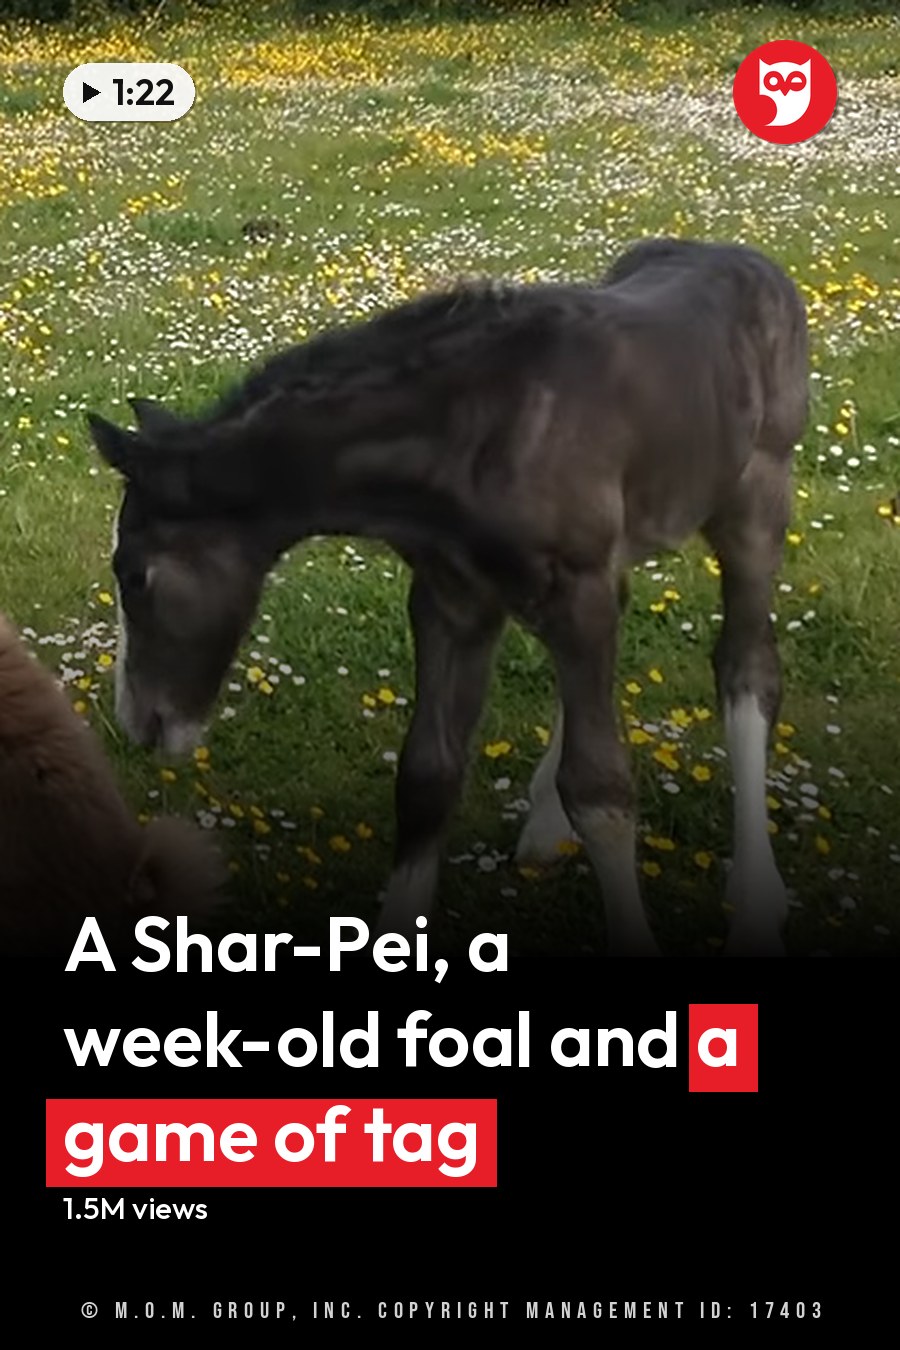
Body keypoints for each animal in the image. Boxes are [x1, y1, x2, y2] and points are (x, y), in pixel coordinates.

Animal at [86, 237, 808, 956]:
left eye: (134, 574)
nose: (139, 721)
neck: (474, 435)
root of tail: (748, 258)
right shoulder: (452, 599)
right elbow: (427, 776)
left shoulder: (575, 592)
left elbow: (601, 790)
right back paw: (547, 826)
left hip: (755, 502)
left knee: (747, 667)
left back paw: (757, 899)